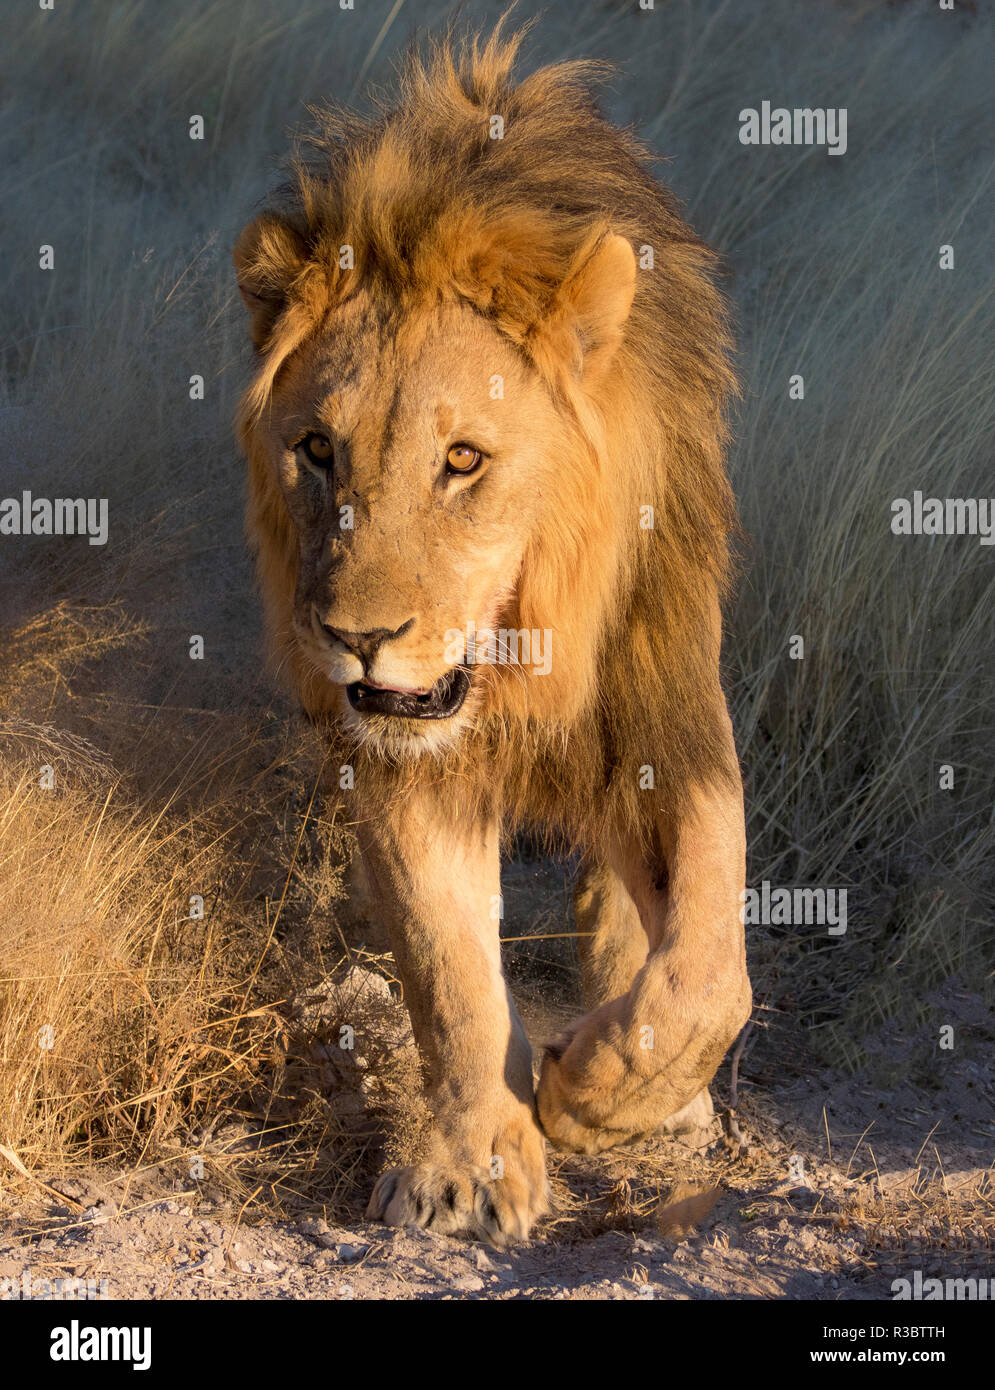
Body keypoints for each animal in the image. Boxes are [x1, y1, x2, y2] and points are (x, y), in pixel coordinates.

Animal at [233, 21, 750, 1245]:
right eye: (316, 450)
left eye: (461, 459)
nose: (356, 635)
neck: (523, 660)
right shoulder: (398, 756)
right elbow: (448, 965)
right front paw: (470, 1162)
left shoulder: (665, 703)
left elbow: (710, 959)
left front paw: (598, 1092)